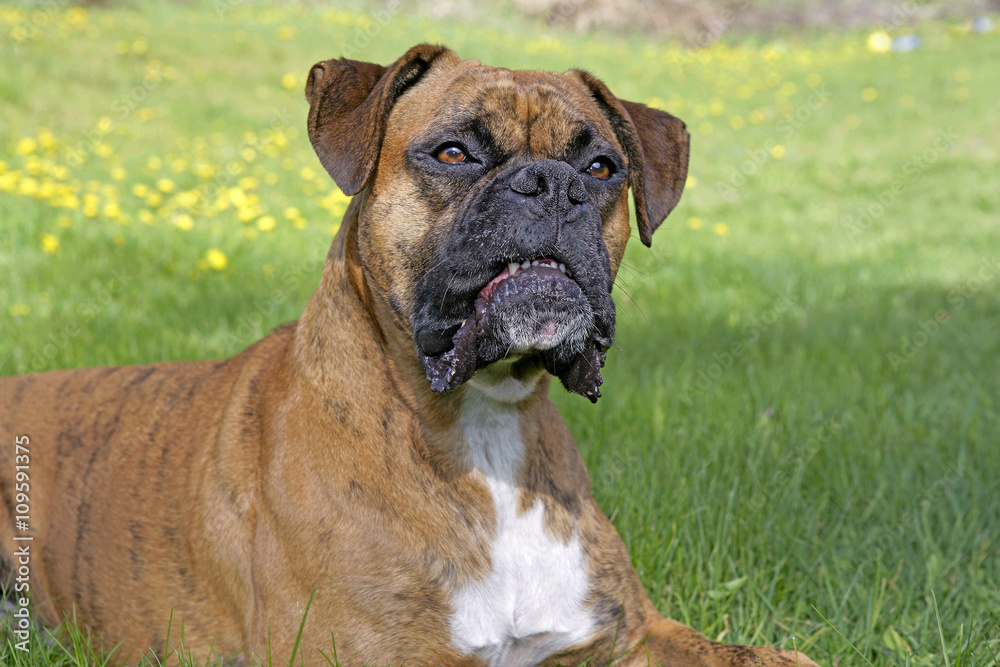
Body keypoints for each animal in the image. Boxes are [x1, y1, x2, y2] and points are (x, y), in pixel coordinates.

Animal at [0, 43, 816, 667]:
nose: (552, 184)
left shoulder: (631, 637)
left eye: (602, 168)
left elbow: (780, 658)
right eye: (453, 152)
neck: (486, 425)